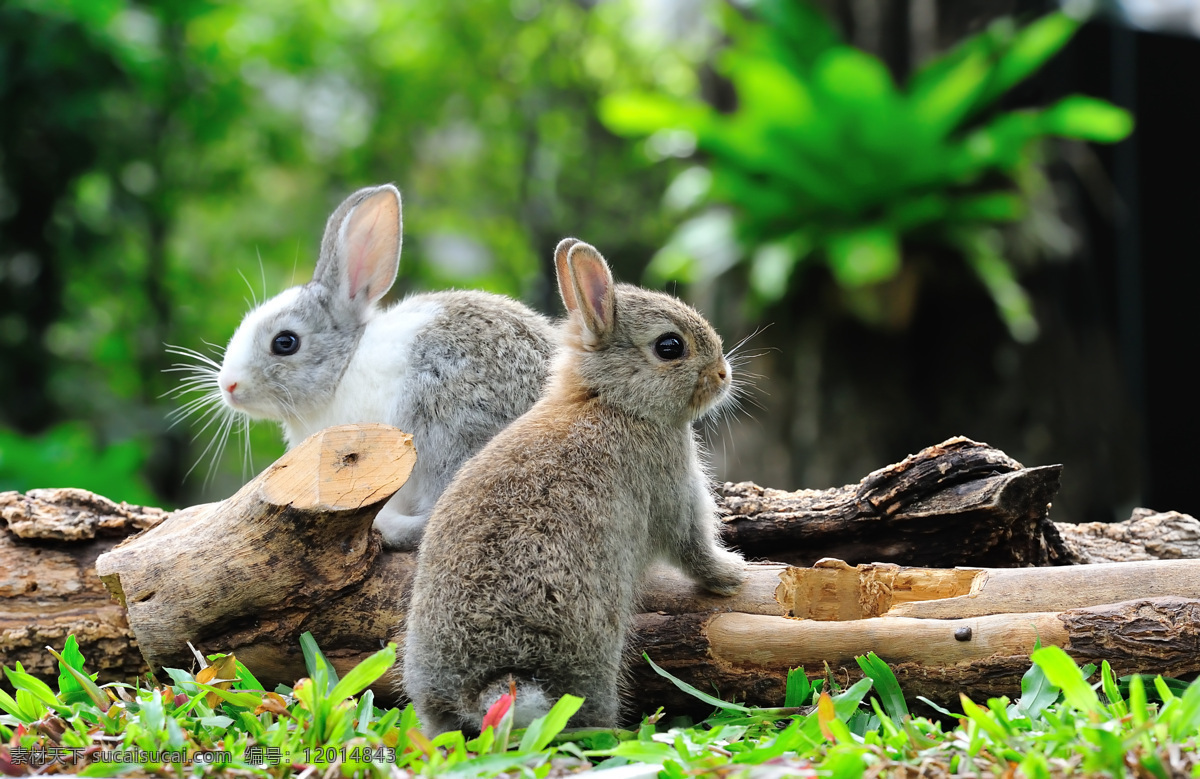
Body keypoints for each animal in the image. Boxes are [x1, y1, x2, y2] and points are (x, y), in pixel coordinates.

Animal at [400, 238, 739, 734]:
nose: (722, 375)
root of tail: (483, 687)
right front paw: (733, 575)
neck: (611, 401)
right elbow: (693, 547)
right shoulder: (672, 486)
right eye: (670, 346)